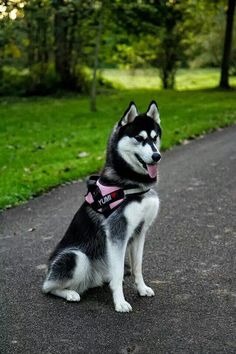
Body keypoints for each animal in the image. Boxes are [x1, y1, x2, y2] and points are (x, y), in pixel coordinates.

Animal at [42, 100, 161, 312]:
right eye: (139, 138)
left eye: (155, 138)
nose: (157, 156)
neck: (130, 185)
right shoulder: (117, 233)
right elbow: (119, 272)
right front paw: (120, 302)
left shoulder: (140, 231)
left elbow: (137, 266)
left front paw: (142, 288)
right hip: (76, 257)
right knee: (48, 287)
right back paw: (70, 293)